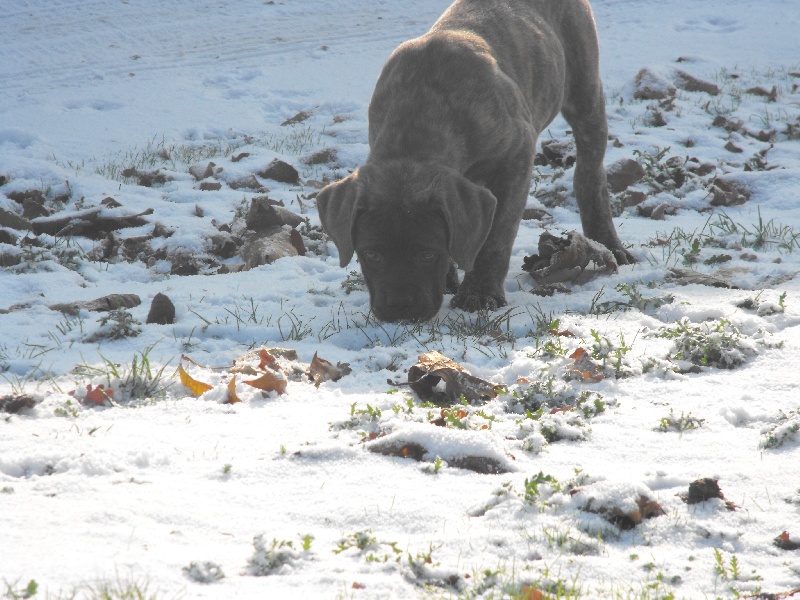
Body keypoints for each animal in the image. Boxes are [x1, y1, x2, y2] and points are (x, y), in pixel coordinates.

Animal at [316, 0, 636, 324]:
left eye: (427, 254)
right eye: (371, 254)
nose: (401, 312)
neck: (417, 125)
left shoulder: (517, 157)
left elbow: (497, 236)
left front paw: (479, 294)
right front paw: (451, 280)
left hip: (585, 89)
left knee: (590, 172)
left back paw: (608, 244)